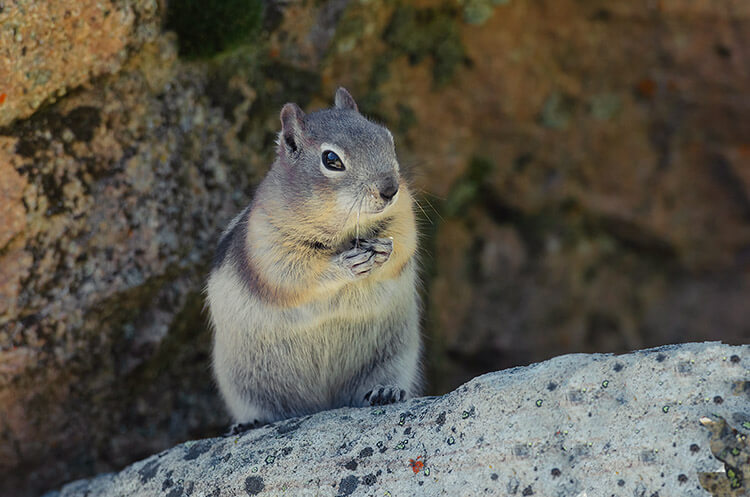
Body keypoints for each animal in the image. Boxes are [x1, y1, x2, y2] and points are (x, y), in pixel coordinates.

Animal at [207, 86, 424, 426]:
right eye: (331, 159)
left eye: (387, 138)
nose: (390, 189)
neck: (343, 228)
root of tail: (322, 406)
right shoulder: (268, 243)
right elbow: (296, 275)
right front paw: (345, 265)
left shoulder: (403, 214)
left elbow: (403, 242)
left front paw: (384, 251)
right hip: (242, 384)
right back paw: (251, 421)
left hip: (395, 358)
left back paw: (385, 391)